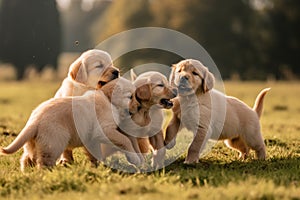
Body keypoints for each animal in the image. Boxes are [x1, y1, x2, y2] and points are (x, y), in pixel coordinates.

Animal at [0, 77, 142, 171]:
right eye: (130, 97)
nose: (140, 106)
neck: (108, 100)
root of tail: (35, 120)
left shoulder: (92, 138)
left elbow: (94, 152)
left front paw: (96, 165)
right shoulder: (104, 129)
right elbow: (124, 139)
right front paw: (134, 159)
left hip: (32, 143)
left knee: (27, 159)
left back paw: (27, 172)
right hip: (54, 142)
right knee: (43, 161)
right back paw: (50, 172)